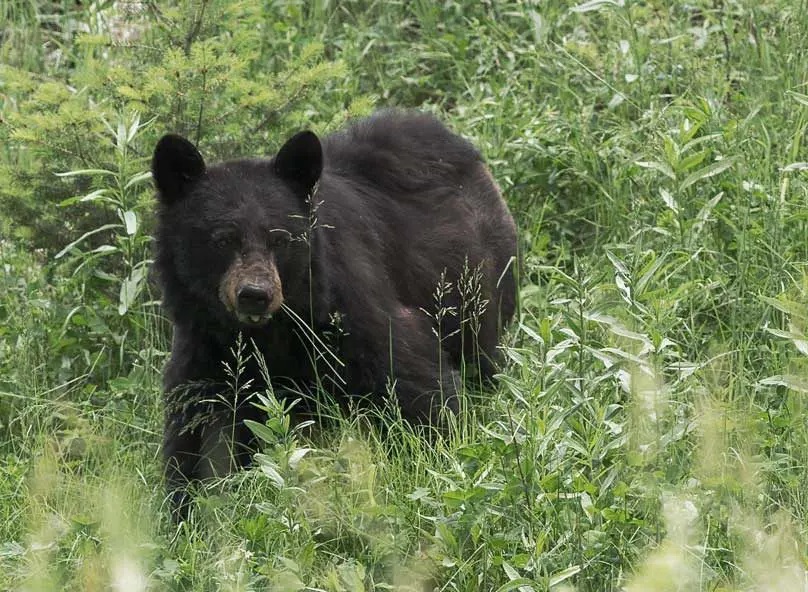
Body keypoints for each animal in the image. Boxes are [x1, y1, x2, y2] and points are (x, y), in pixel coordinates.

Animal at [151, 110, 518, 517]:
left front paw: (442, 460)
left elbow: (413, 378)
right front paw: (187, 507)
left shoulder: (350, 303)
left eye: (281, 238)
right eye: (222, 240)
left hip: (473, 287)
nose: (255, 295)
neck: (270, 332)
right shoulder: (205, 344)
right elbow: (199, 428)